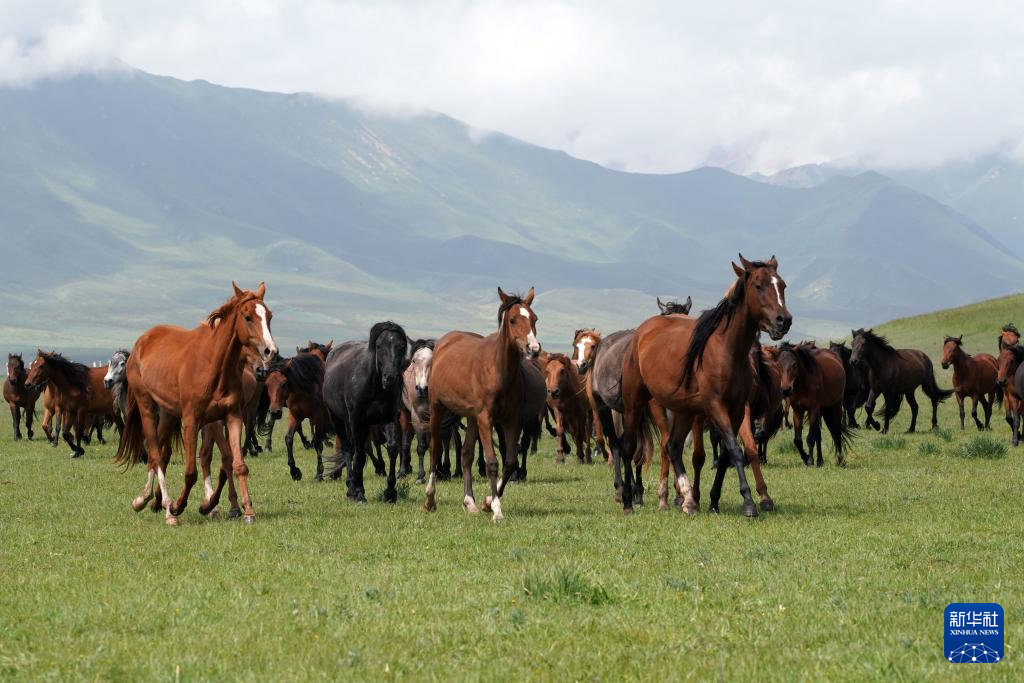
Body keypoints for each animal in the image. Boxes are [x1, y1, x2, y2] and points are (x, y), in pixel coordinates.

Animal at [115, 280, 278, 528]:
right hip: (147, 407)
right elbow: (191, 471)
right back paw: (165, 509)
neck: (213, 365)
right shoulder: (192, 421)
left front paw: (247, 510)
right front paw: (180, 506)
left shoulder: (232, 417)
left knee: (160, 454)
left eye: (268, 316)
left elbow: (237, 464)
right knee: (155, 452)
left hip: (169, 414)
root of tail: (141, 342)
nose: (270, 352)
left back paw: (146, 500)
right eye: (248, 317)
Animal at [325, 321, 409, 501]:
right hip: (338, 419)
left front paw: (390, 492)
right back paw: (351, 487)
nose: (390, 378)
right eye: (379, 346)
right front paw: (358, 493)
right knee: (348, 450)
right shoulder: (356, 420)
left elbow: (392, 449)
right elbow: (359, 455)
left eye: (401, 346)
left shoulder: (390, 418)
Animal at [421, 286, 540, 520]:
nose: (533, 348)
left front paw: (486, 502)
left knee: (466, 454)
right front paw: (496, 510)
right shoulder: (486, 419)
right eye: (512, 320)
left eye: (534, 319)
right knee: (435, 448)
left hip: (471, 418)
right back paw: (430, 499)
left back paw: (470, 502)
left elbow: (510, 462)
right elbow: (492, 462)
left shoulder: (511, 419)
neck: (498, 370)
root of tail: (444, 342)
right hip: (438, 407)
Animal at [614, 255, 790, 518]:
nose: (784, 320)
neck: (727, 350)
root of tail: (641, 334)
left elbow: (727, 454)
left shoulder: (737, 409)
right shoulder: (715, 406)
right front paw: (749, 502)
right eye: (759, 286)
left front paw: (714, 500)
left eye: (782, 285)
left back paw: (687, 498)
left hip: (684, 410)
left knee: (673, 446)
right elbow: (733, 450)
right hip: (635, 404)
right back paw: (629, 501)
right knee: (629, 447)